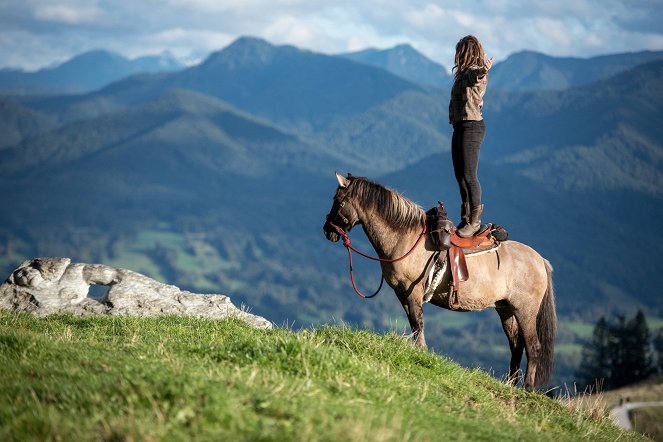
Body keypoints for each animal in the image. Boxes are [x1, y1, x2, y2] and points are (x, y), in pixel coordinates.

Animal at [324, 173, 556, 390]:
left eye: (338, 200)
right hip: (505, 309)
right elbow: (414, 324)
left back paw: (527, 387)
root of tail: (540, 260)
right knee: (516, 346)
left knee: (533, 346)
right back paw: (510, 384)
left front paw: (421, 353)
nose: (327, 230)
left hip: (524, 310)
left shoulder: (413, 291)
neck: (404, 238)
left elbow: (418, 323)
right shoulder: (402, 293)